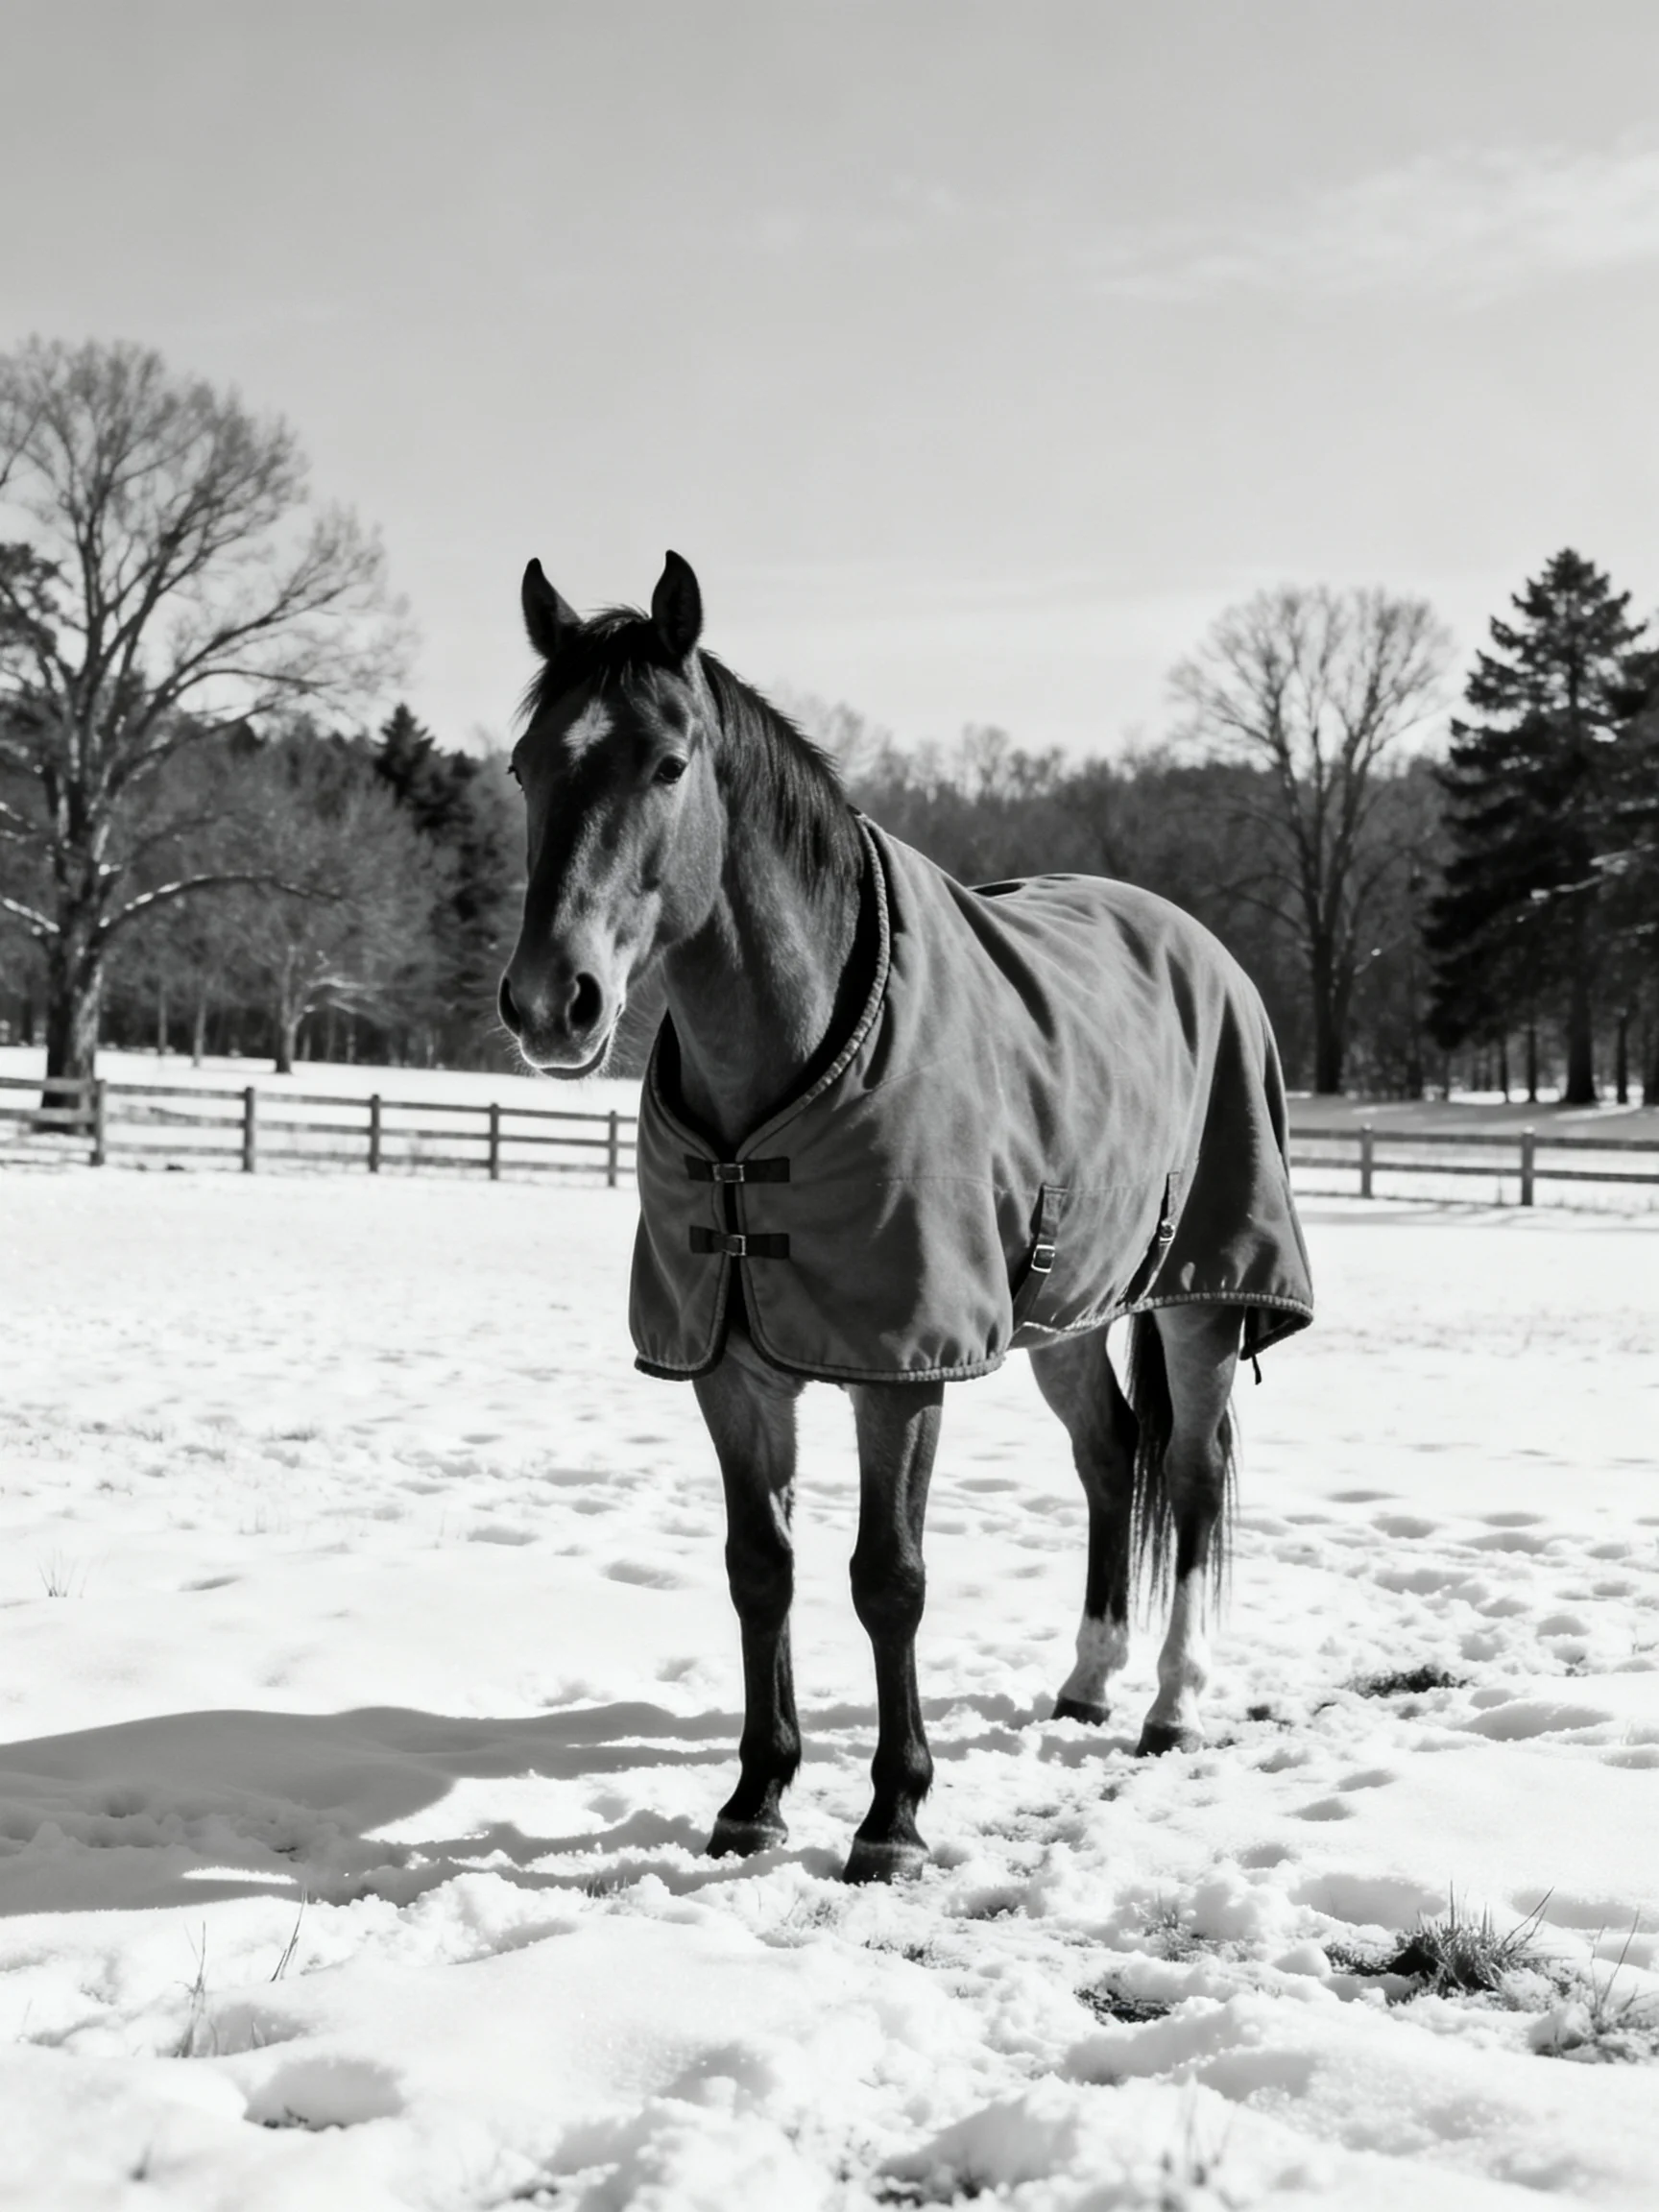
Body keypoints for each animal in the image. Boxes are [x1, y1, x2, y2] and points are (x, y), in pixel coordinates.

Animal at [498, 552, 1313, 1884]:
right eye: (527, 766)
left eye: (668, 764)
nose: (548, 1003)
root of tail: (1201, 945)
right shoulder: (733, 1367)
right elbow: (760, 1571)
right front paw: (756, 1796)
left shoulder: (903, 1369)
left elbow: (889, 1578)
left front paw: (893, 1815)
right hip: (1069, 1316)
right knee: (1109, 1458)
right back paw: (1089, 1681)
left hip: (1197, 1298)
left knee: (1189, 1477)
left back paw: (1172, 1702)